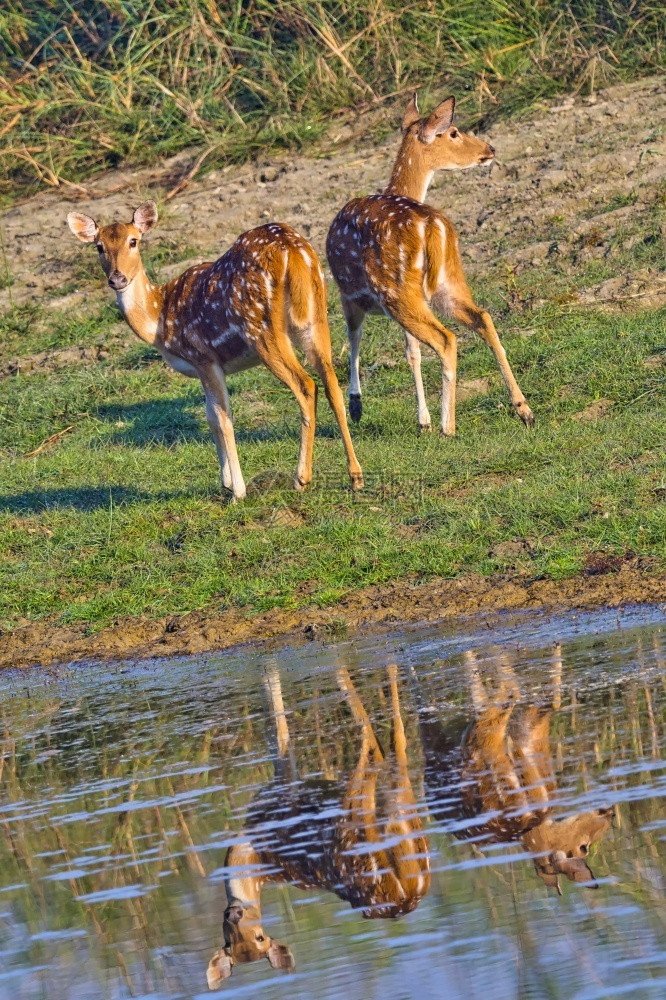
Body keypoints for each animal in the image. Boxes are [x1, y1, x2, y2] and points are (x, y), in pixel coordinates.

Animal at [67, 203, 364, 500]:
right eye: (99, 246)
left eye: (133, 241)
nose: (117, 278)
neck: (160, 319)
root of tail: (291, 249)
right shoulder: (205, 367)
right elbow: (210, 416)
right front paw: (225, 482)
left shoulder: (204, 357)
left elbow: (223, 419)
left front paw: (238, 492)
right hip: (316, 313)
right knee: (332, 384)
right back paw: (355, 476)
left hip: (260, 328)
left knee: (305, 385)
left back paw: (301, 478)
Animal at [205, 660, 428, 988]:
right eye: (230, 944)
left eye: (260, 937)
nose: (234, 914)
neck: (251, 848)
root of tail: (407, 891)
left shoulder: (283, 790)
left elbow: (278, 731)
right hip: (400, 811)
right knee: (394, 746)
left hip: (351, 826)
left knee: (372, 745)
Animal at [326, 94, 536, 434]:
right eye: (453, 132)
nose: (490, 149)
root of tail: (435, 227)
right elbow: (411, 351)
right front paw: (420, 418)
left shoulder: (348, 292)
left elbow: (357, 337)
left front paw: (358, 406)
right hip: (447, 282)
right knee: (483, 317)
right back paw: (523, 409)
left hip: (396, 291)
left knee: (445, 338)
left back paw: (446, 425)